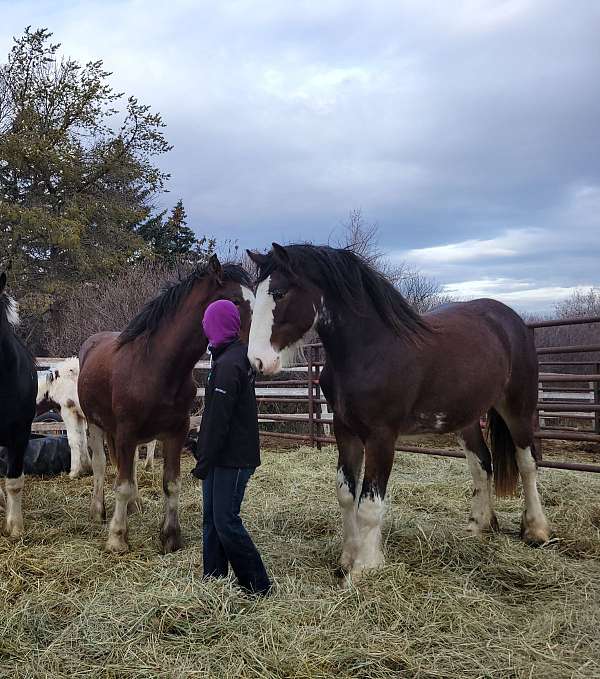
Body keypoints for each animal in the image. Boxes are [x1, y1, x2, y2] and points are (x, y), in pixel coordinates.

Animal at [78, 258, 253, 556]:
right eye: (234, 300)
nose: (255, 357)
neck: (156, 366)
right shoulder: (126, 432)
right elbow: (122, 485)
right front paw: (117, 538)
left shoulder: (176, 432)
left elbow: (171, 483)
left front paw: (171, 537)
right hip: (96, 424)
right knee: (101, 466)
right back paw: (98, 510)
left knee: (130, 467)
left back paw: (135, 506)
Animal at [246, 244, 552, 580]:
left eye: (280, 292)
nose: (257, 361)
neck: (371, 349)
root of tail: (511, 319)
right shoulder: (345, 430)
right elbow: (346, 494)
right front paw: (347, 559)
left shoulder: (382, 436)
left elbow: (369, 504)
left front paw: (365, 568)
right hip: (466, 417)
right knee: (482, 464)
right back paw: (478, 526)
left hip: (518, 407)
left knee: (527, 463)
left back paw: (536, 531)